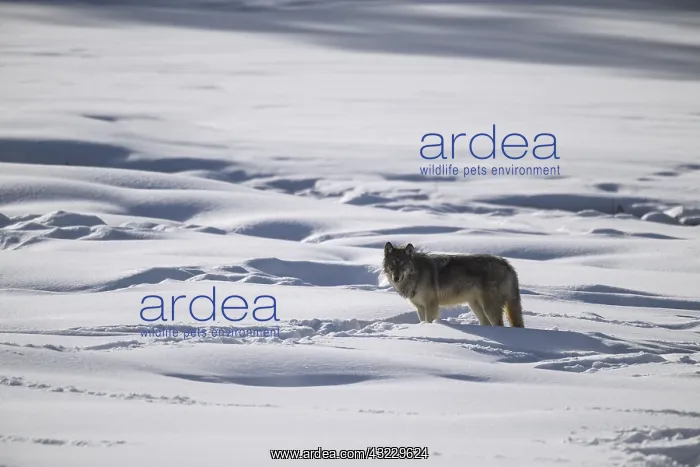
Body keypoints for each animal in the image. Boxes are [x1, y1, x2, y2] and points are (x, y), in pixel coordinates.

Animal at [382, 242, 524, 327]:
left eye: (402, 265)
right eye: (392, 265)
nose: (396, 278)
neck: (418, 274)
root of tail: (507, 264)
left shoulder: (430, 305)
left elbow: (430, 320)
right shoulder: (420, 307)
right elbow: (423, 321)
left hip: (489, 307)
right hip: (475, 305)